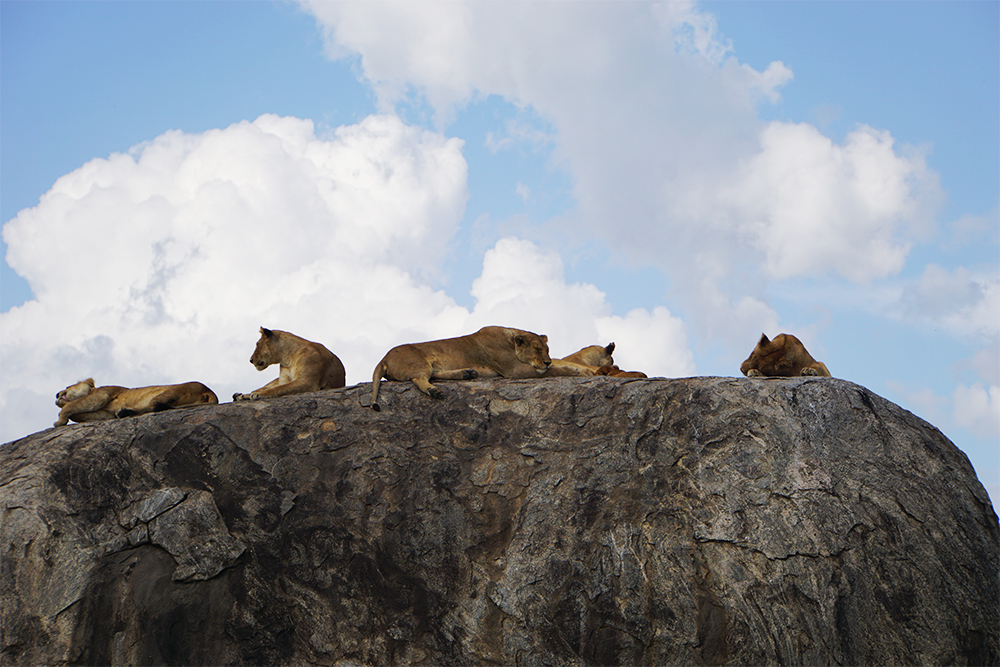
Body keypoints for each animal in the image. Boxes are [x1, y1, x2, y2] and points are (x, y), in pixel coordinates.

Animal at [54, 378, 219, 426]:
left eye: (67, 387)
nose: (56, 394)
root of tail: (210, 391)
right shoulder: (103, 414)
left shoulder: (101, 395)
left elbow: (71, 405)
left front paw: (59, 422)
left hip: (172, 391)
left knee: (155, 406)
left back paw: (125, 412)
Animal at [372, 326, 552, 410]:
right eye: (537, 349)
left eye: (547, 350)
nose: (547, 362)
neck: (510, 338)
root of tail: (384, 358)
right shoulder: (513, 369)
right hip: (419, 362)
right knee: (420, 379)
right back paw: (434, 391)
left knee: (435, 374)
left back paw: (467, 373)